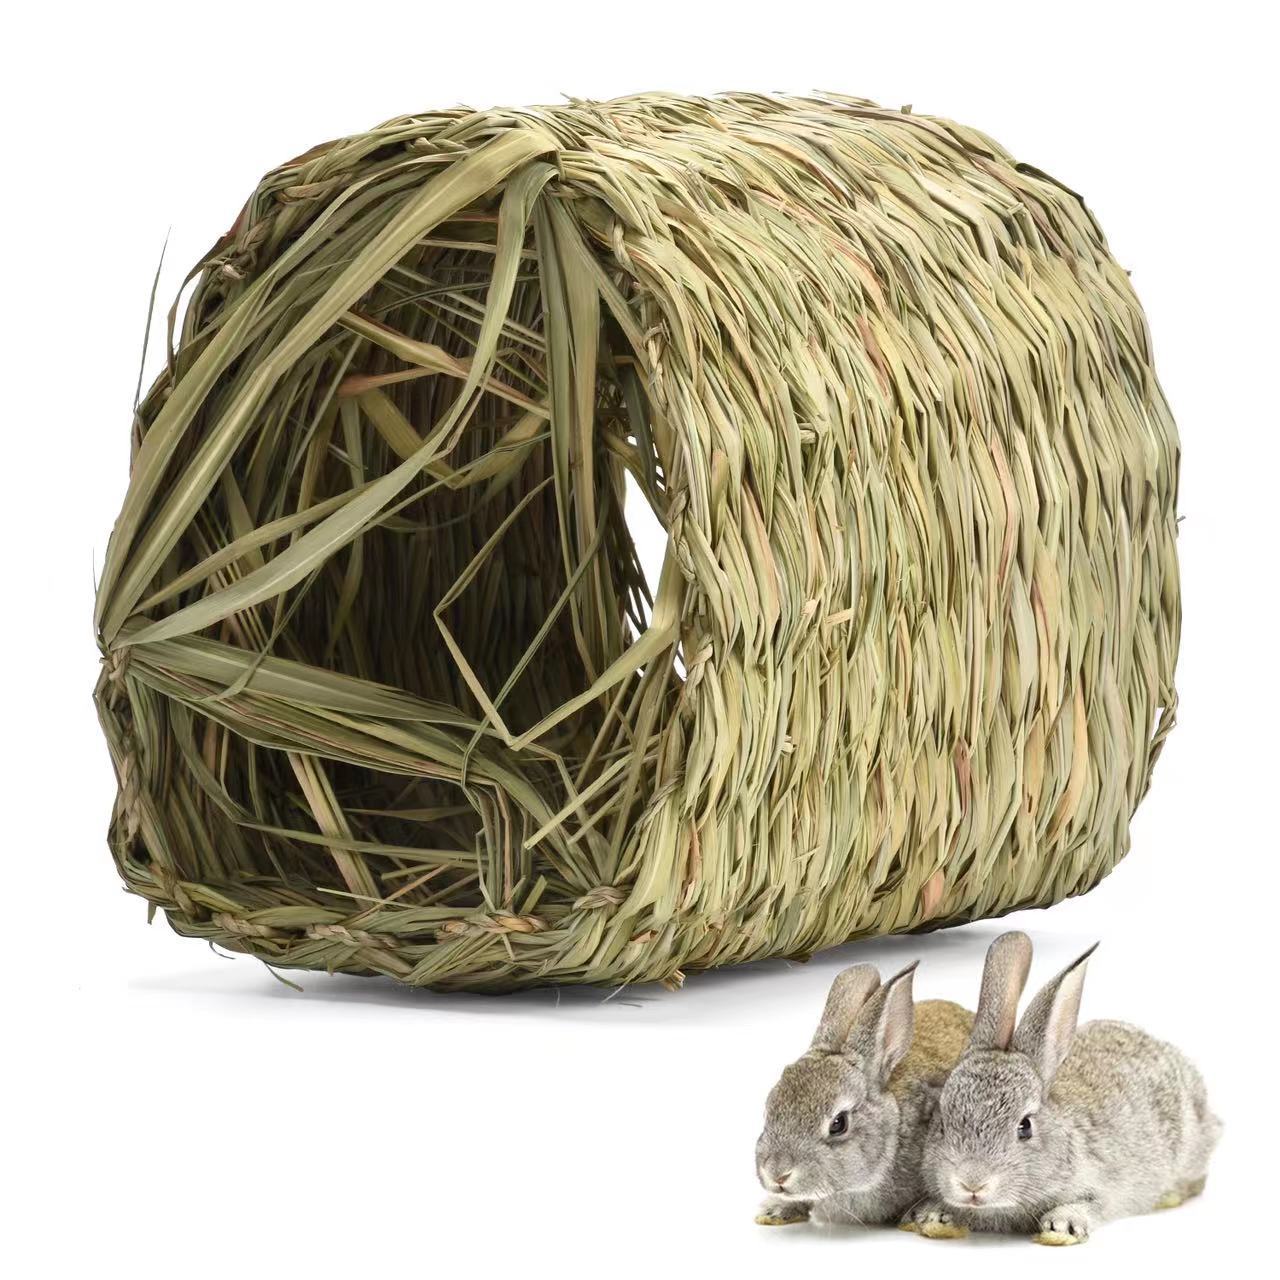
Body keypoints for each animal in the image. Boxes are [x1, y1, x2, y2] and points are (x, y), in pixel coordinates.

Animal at [908, 931, 1221, 1246]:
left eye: (1025, 1127)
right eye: (942, 1125)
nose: (972, 1183)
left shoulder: (1103, 1187)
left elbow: (1090, 1205)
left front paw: (1062, 1226)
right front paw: (934, 1215)